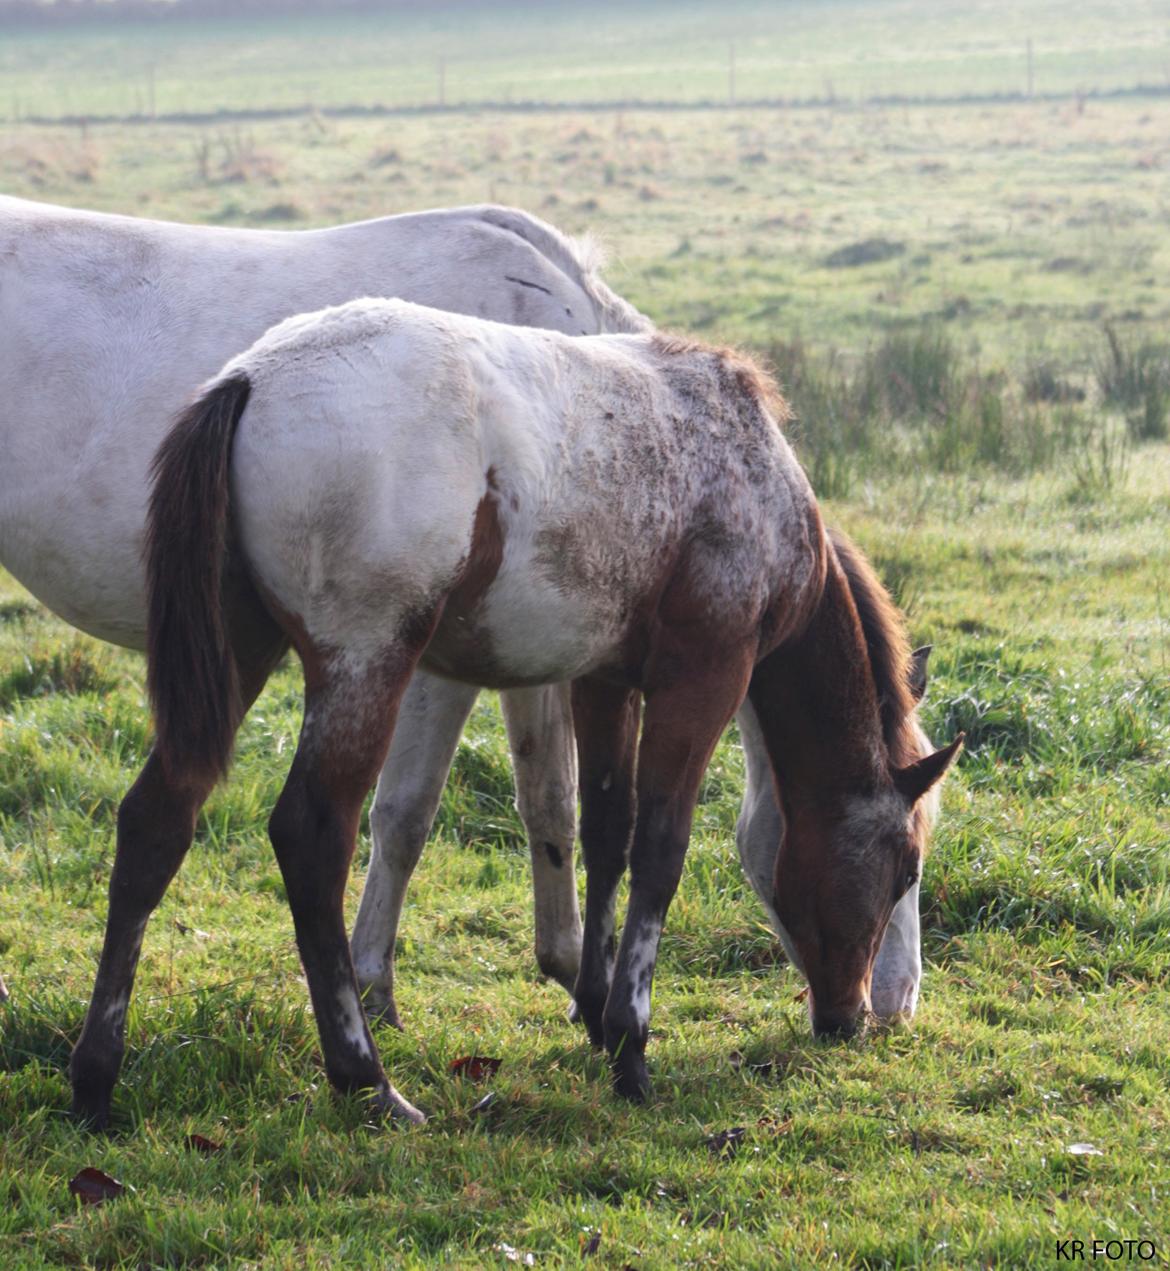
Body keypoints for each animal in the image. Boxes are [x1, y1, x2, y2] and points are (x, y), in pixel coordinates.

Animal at [73, 299, 965, 1123]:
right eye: (906, 869)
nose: (857, 1017)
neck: (749, 470)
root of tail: (251, 378)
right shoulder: (704, 676)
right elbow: (661, 848)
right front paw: (631, 1047)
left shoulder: (603, 678)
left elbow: (605, 833)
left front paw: (597, 1012)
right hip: (366, 664)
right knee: (311, 837)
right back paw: (365, 1078)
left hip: (239, 653)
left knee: (156, 821)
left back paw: (95, 1076)